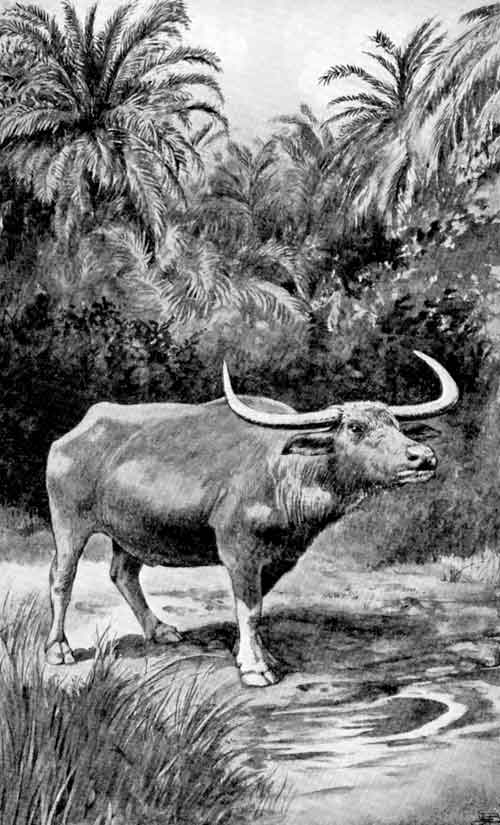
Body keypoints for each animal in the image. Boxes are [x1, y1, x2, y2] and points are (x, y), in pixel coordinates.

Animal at [45, 351, 458, 686]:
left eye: (395, 425)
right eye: (355, 428)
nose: (422, 456)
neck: (285, 472)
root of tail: (75, 432)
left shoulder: (281, 556)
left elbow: (258, 606)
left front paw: (257, 653)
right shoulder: (237, 551)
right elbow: (250, 607)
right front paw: (255, 667)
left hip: (132, 533)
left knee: (123, 574)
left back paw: (159, 630)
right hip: (69, 523)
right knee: (62, 579)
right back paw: (59, 649)